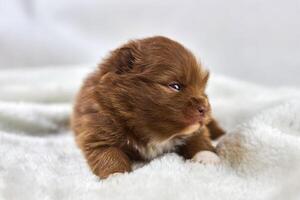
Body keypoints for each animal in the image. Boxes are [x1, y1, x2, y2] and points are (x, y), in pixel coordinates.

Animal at [71, 35, 225, 178]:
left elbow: (199, 139)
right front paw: (117, 176)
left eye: (203, 89)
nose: (204, 108)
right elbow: (110, 156)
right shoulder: (98, 133)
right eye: (175, 86)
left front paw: (208, 157)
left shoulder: (196, 130)